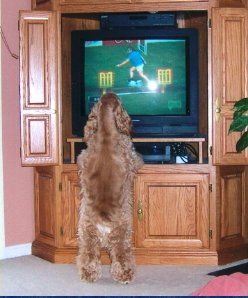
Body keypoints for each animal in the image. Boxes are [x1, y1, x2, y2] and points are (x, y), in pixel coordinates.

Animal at [77, 92, 143, 284]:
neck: (105, 130)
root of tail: (103, 223)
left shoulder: (83, 156)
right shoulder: (130, 155)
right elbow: (136, 159)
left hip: (86, 234)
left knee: (88, 257)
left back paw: (88, 275)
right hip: (123, 233)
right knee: (122, 257)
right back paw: (126, 276)